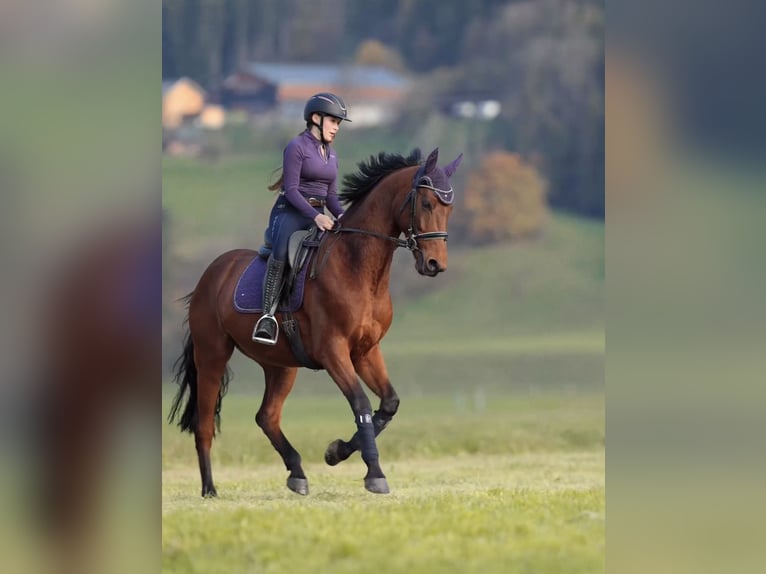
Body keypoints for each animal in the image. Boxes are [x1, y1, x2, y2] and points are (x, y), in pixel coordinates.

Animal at [168, 147, 463, 496]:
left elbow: (388, 404)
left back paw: (297, 472)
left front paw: (336, 452)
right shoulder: (333, 351)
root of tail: (211, 274)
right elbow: (361, 404)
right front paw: (374, 473)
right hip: (212, 354)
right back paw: (210, 489)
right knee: (204, 423)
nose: (435, 264)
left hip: (280, 365)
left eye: (449, 207)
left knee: (267, 416)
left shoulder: (366, 351)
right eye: (428, 203)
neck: (357, 267)